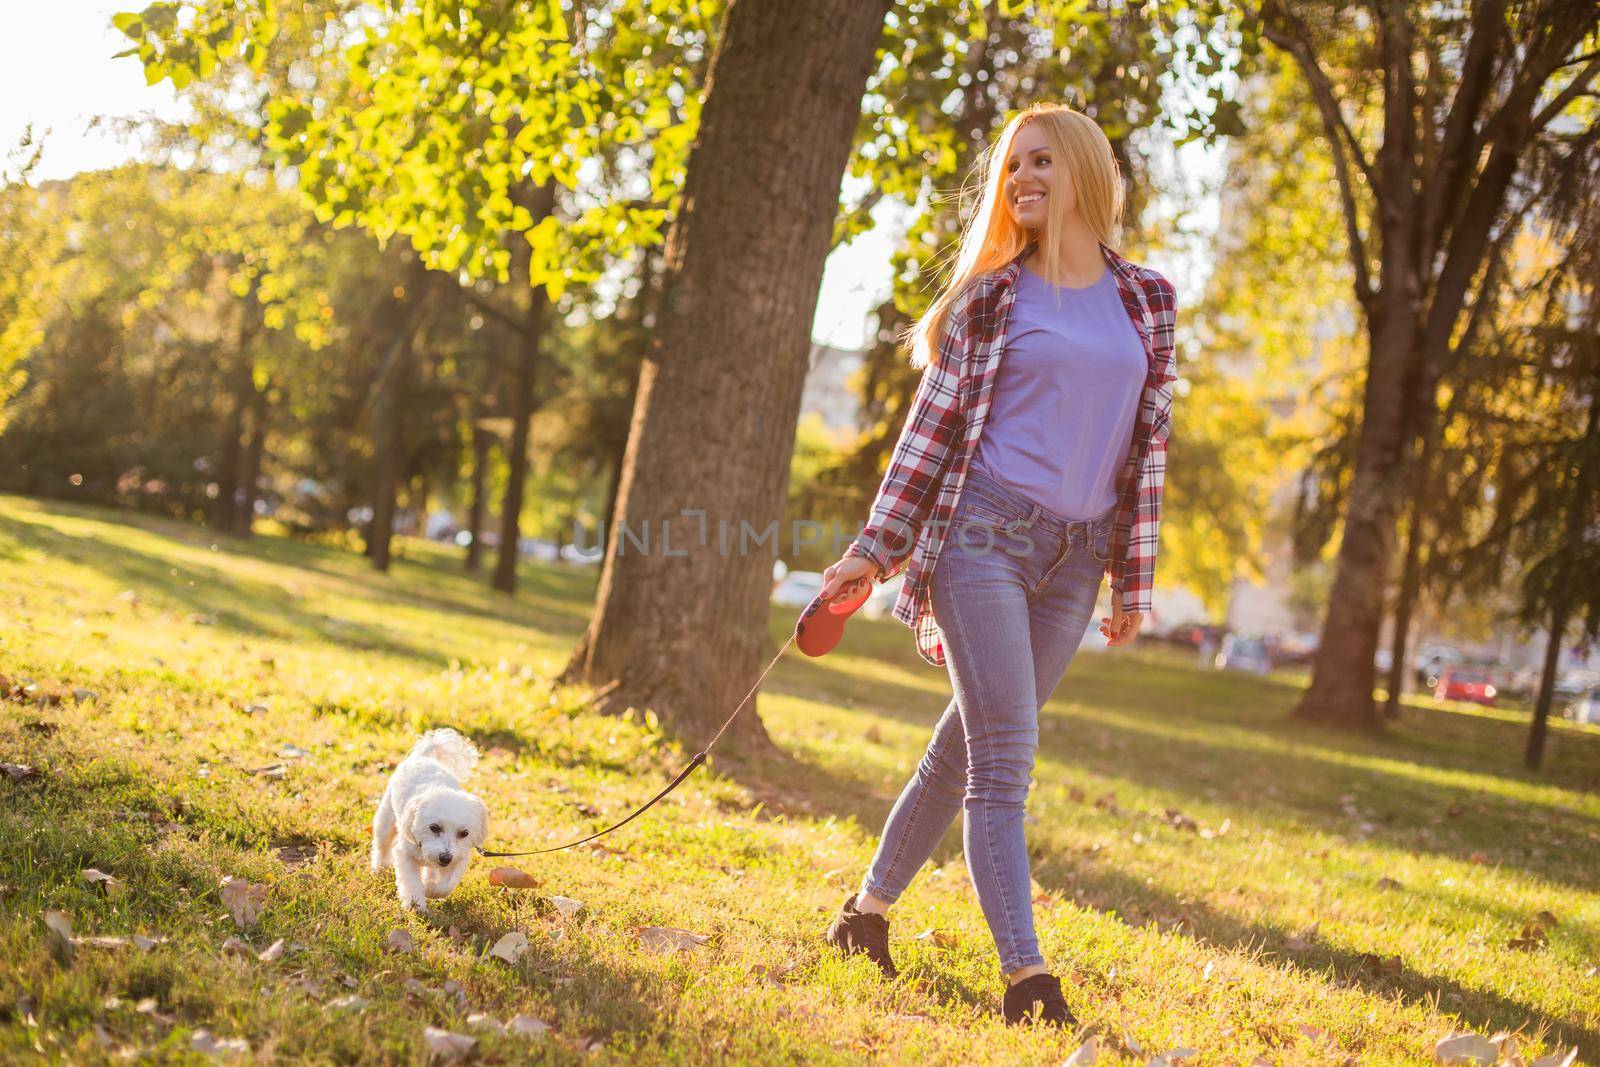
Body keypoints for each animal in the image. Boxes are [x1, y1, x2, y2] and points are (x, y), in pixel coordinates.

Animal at [372, 726, 489, 908]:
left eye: (464, 833)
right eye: (434, 827)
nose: (445, 858)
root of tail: (424, 757)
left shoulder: (459, 857)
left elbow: (446, 884)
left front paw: (430, 890)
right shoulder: (405, 855)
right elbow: (411, 882)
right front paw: (416, 904)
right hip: (385, 819)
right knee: (382, 845)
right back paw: (379, 868)